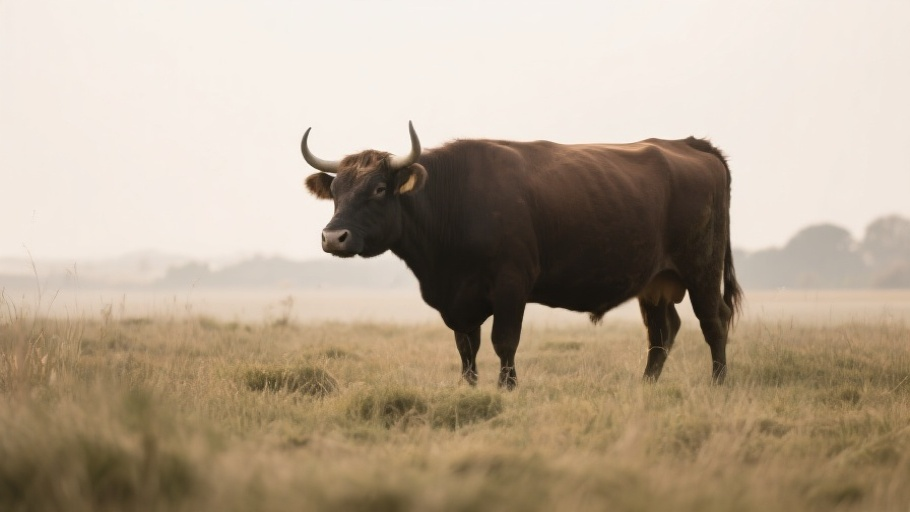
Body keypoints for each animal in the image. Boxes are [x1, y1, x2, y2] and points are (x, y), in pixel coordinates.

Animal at [301, 122, 742, 389]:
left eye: (378, 189)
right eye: (336, 189)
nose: (334, 237)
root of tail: (688, 145)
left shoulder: (511, 285)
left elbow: (503, 341)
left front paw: (506, 388)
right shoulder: (459, 299)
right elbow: (466, 346)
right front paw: (470, 387)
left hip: (702, 269)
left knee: (713, 321)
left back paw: (718, 383)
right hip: (654, 281)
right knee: (662, 330)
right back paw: (647, 384)